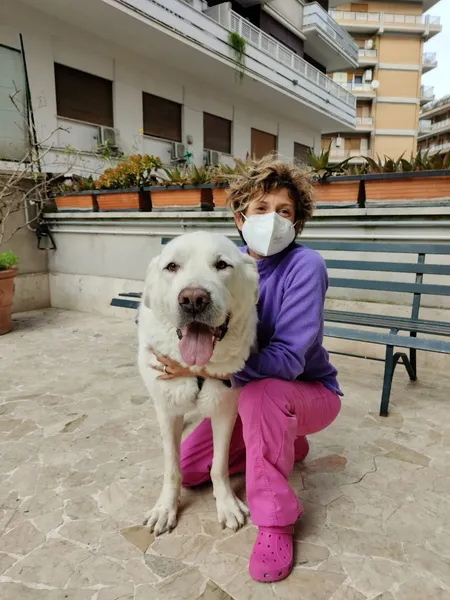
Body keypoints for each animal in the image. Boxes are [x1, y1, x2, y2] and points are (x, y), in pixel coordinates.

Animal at [137, 231, 258, 536]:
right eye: (171, 267)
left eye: (222, 265)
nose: (193, 299)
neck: (197, 368)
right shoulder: (168, 410)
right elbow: (172, 467)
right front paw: (165, 509)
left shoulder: (224, 411)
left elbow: (218, 466)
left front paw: (227, 504)